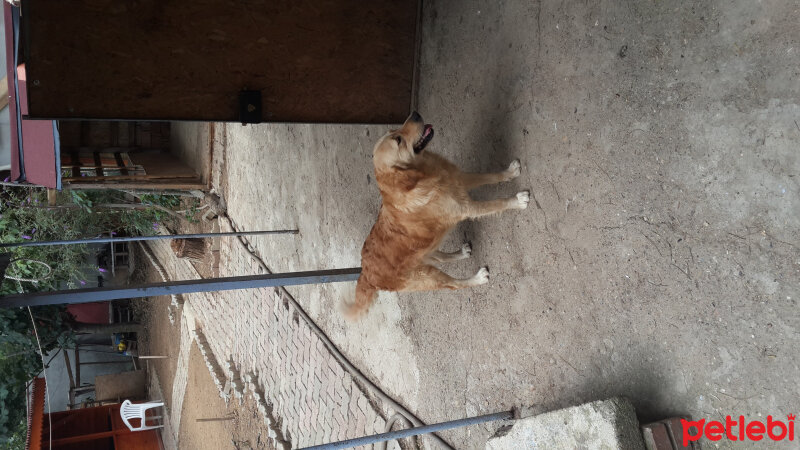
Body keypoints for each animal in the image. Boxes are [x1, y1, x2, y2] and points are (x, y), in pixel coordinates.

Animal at [344, 110, 532, 318]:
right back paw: (478, 278)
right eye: (398, 140)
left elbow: (490, 176)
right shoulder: (467, 208)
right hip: (427, 276)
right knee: (454, 285)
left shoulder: (459, 179)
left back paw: (461, 253)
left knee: (441, 257)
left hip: (426, 253)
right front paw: (518, 201)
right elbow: (498, 203)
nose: (415, 113)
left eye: (393, 130)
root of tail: (365, 274)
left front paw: (510, 173)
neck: (421, 175)